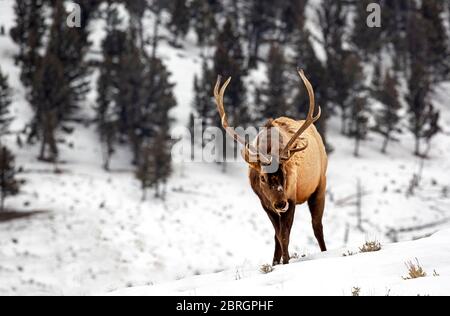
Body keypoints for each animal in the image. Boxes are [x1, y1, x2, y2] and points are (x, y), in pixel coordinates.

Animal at [214, 71, 326, 264]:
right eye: (262, 178)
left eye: (285, 174)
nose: (280, 203)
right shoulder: (265, 203)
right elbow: (278, 236)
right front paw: (275, 263)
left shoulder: (291, 197)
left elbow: (284, 236)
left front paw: (286, 262)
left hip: (320, 184)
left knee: (317, 226)